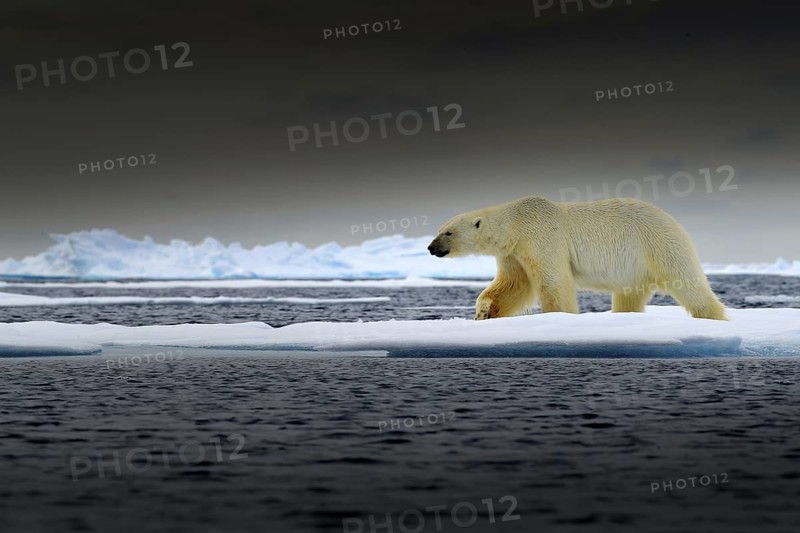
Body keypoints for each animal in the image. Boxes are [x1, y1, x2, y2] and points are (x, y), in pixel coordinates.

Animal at [427, 196, 727, 321]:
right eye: (440, 229)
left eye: (448, 232)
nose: (430, 247)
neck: (517, 222)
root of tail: (673, 220)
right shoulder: (514, 252)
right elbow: (512, 284)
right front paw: (484, 311)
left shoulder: (541, 236)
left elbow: (553, 281)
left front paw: (557, 316)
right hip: (637, 266)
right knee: (629, 294)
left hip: (657, 243)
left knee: (686, 282)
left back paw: (713, 316)